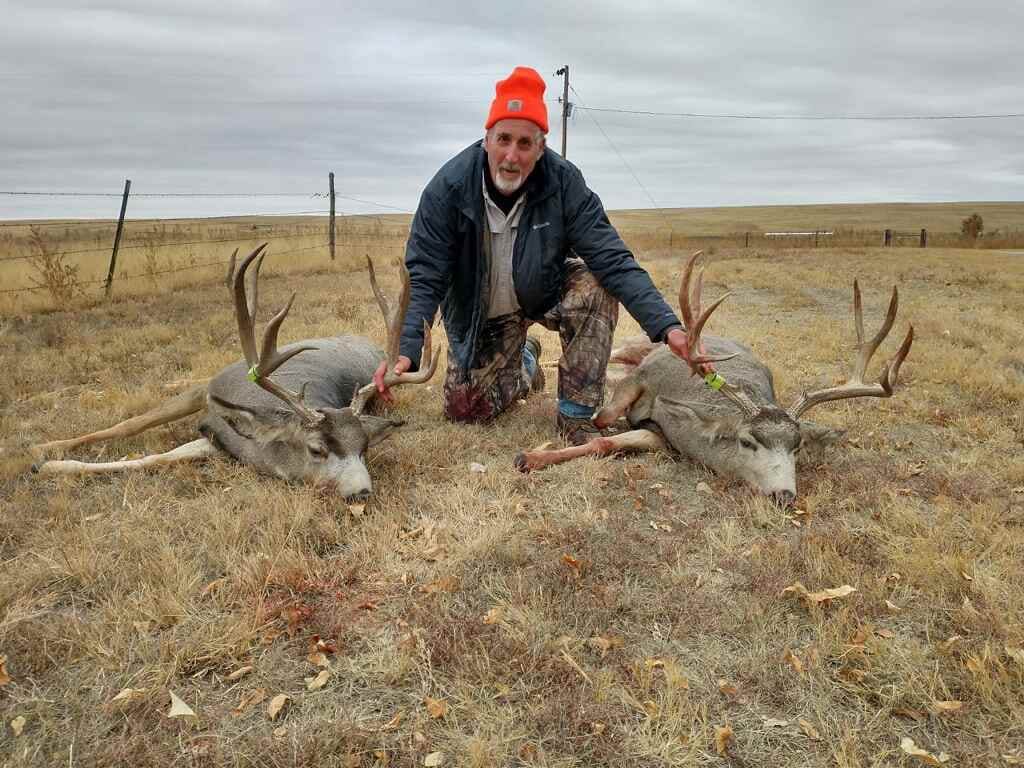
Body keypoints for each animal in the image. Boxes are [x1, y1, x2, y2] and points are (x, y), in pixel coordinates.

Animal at [29, 244, 437, 500]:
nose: (361, 492)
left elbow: (155, 458)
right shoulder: (210, 399)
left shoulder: (218, 440)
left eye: (364, 448)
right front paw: (45, 455)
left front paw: (45, 465)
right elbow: (132, 431)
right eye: (316, 449)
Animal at [515, 251, 914, 507]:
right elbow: (604, 418)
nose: (784, 496)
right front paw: (532, 455)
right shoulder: (645, 376)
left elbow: (609, 441)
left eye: (797, 447)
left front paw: (534, 457)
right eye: (747, 442)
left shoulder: (663, 438)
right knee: (609, 355)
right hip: (639, 345)